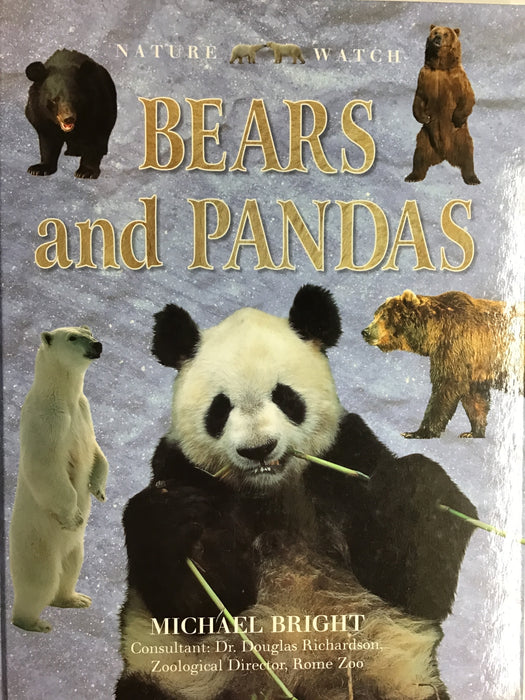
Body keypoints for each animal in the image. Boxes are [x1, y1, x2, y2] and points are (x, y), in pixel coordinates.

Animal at [9, 326, 109, 632]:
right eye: (73, 337)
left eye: (89, 330)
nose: (98, 345)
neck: (62, 397)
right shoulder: (49, 421)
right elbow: (47, 467)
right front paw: (74, 516)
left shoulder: (84, 412)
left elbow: (97, 451)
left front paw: (99, 490)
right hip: (38, 543)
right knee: (41, 580)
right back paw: (34, 623)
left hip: (76, 547)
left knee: (71, 568)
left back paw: (76, 599)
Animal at [25, 49, 117, 179]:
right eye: (54, 99)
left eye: (75, 99)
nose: (68, 119)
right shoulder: (39, 115)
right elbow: (48, 142)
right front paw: (38, 169)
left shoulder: (97, 109)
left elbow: (95, 138)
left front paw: (85, 172)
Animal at [116, 285, 476, 700]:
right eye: (220, 409)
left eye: (285, 397)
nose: (258, 449)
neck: (273, 491)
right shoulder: (181, 468)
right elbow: (200, 604)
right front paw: (175, 517)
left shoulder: (346, 454)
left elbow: (411, 586)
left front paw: (420, 491)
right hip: (176, 680)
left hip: (396, 678)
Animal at [362, 289, 524, 439]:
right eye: (375, 315)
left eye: (384, 316)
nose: (365, 331)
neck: (434, 332)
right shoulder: (474, 366)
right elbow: (474, 397)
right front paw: (473, 432)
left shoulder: (456, 346)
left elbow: (446, 387)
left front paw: (417, 432)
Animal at [405, 25, 479, 185]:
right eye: (435, 32)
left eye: (446, 34)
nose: (437, 38)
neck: (440, 67)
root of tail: (444, 155)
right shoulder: (424, 77)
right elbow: (419, 98)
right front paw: (424, 117)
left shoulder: (458, 78)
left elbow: (468, 97)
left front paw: (457, 118)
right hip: (425, 138)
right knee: (419, 155)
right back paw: (413, 176)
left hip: (460, 136)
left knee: (467, 154)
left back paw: (472, 178)